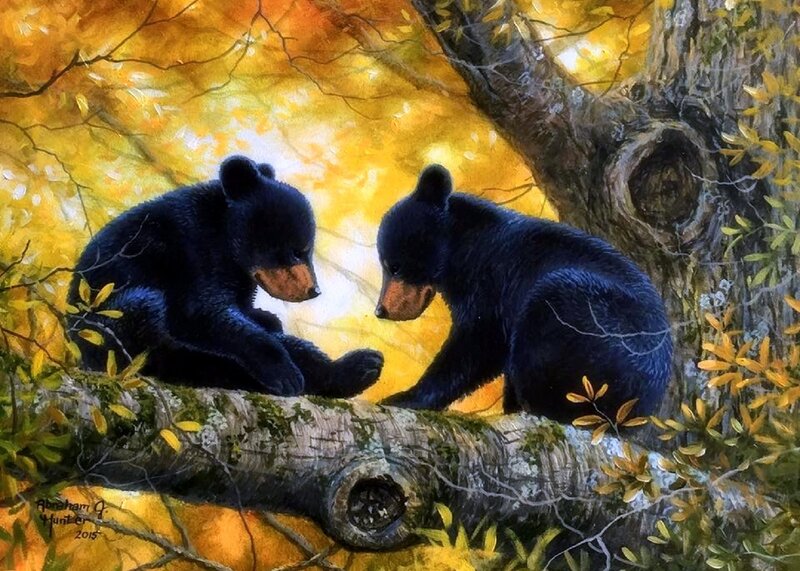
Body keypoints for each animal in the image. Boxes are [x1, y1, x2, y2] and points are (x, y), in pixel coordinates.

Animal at [67, 155, 383, 398]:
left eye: (307, 250)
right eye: (296, 251)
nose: (313, 290)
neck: (226, 236)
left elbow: (249, 315)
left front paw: (267, 319)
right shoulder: (193, 248)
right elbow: (205, 312)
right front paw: (283, 373)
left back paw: (362, 367)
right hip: (103, 319)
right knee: (146, 318)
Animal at [375, 164, 672, 422]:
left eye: (394, 266)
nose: (381, 310)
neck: (463, 248)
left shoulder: (493, 282)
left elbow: (475, 345)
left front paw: (405, 397)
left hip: (596, 323)